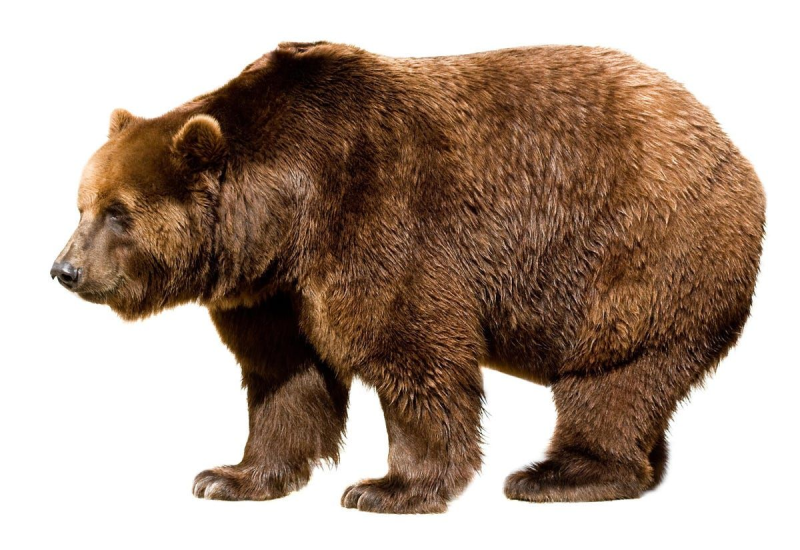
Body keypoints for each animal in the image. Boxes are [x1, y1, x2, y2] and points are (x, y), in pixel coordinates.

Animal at [51, 41, 765, 513]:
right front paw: (229, 476)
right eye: (81, 204)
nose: (65, 269)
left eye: (119, 212)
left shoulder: (381, 221)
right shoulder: (273, 291)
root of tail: (730, 148)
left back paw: (558, 475)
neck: (285, 213)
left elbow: (411, 354)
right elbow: (286, 379)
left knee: (611, 379)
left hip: (640, 259)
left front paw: (387, 487)